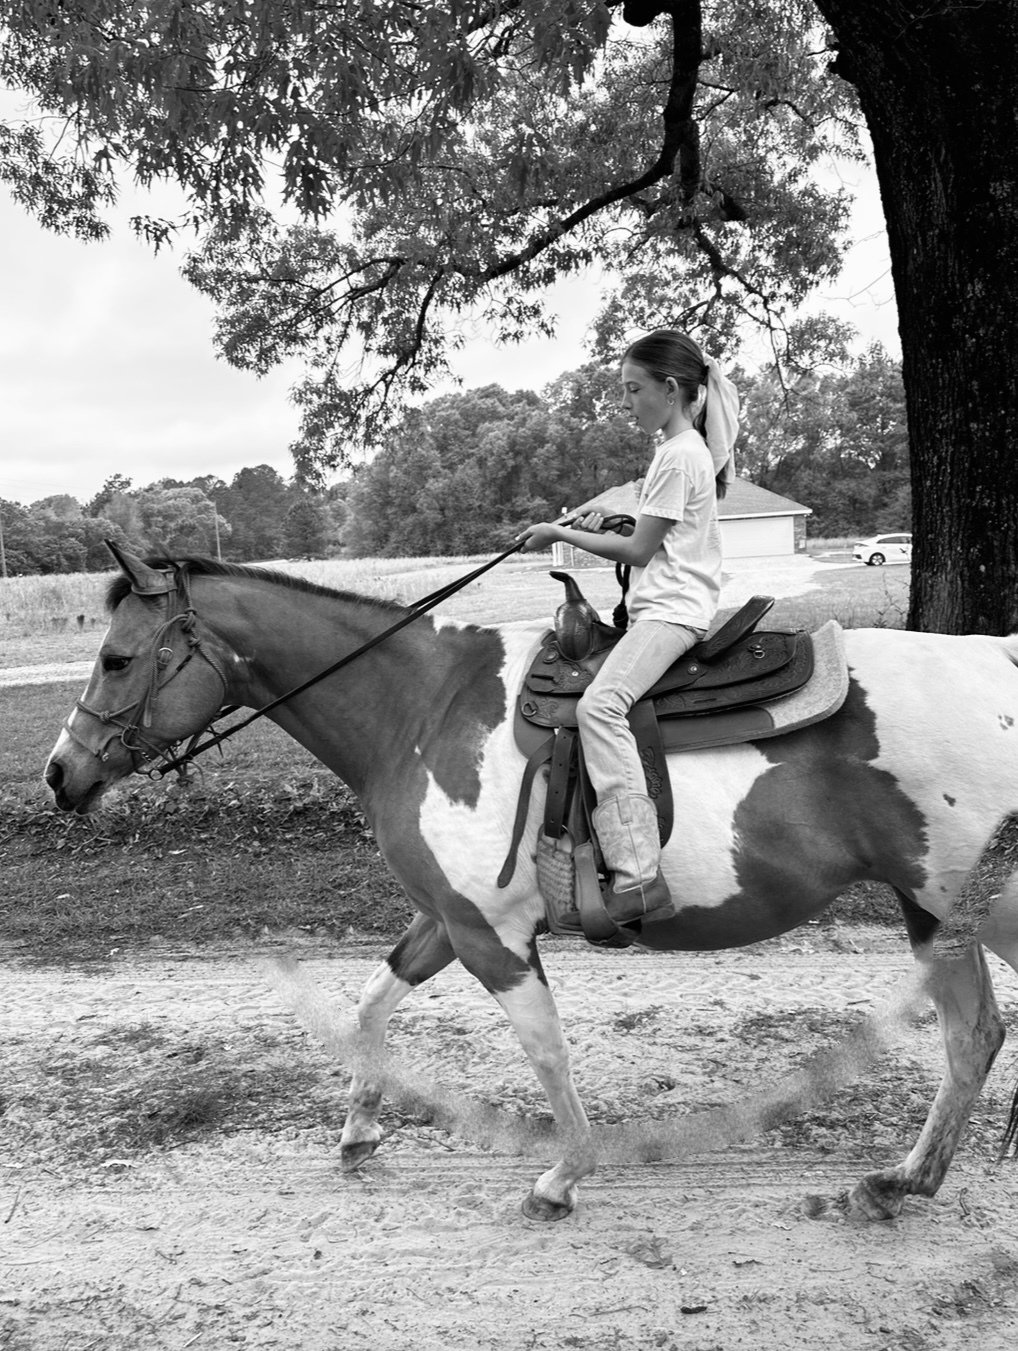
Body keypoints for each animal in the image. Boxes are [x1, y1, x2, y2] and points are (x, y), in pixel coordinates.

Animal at [44, 545, 1018, 1222]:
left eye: (118, 659)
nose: (59, 773)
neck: (420, 710)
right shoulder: (446, 917)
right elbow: (370, 1005)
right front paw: (359, 1129)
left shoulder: (492, 936)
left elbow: (546, 1050)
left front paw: (563, 1175)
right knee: (976, 1036)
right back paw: (905, 1181)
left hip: (951, 904)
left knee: (971, 1035)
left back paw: (903, 1179)